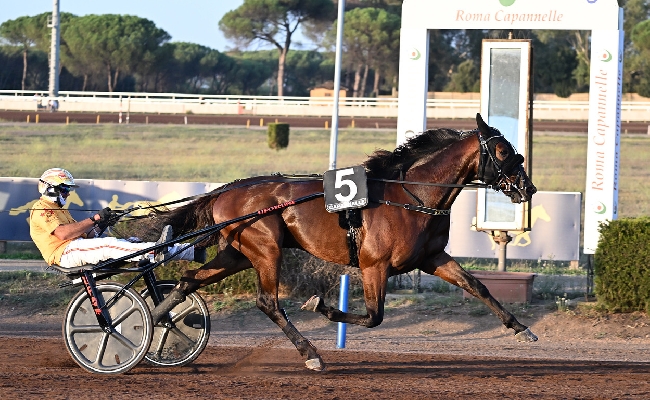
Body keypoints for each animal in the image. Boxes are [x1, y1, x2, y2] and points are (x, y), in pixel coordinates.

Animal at [147, 114, 536, 370]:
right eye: (502, 151)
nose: (528, 187)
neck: (412, 194)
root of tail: (226, 190)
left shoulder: (432, 257)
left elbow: (477, 286)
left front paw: (521, 329)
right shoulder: (374, 265)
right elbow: (375, 317)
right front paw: (322, 306)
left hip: (239, 254)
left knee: (188, 280)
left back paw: (157, 321)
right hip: (266, 249)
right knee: (268, 302)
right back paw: (311, 354)